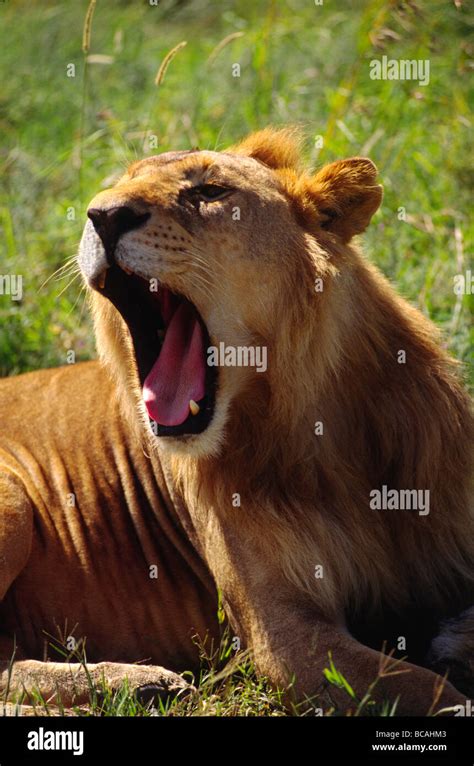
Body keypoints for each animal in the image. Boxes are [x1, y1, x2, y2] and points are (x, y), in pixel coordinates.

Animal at [0, 129, 474, 716]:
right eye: (117, 184)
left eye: (210, 191)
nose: (101, 214)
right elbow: (426, 687)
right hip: (12, 498)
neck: (317, 436)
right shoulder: (286, 639)